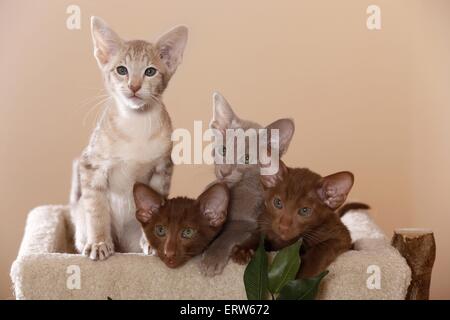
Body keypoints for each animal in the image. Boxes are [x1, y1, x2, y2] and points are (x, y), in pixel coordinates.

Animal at [70, 16, 188, 260]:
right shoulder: (91, 165)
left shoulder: (163, 167)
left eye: (150, 71)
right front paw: (99, 242)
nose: (134, 86)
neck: (136, 125)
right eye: (121, 70)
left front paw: (152, 243)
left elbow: (156, 206)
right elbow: (96, 209)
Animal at [200, 92, 296, 276]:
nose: (224, 172)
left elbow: (227, 234)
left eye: (246, 158)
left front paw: (211, 259)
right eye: (223, 150)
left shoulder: (247, 222)